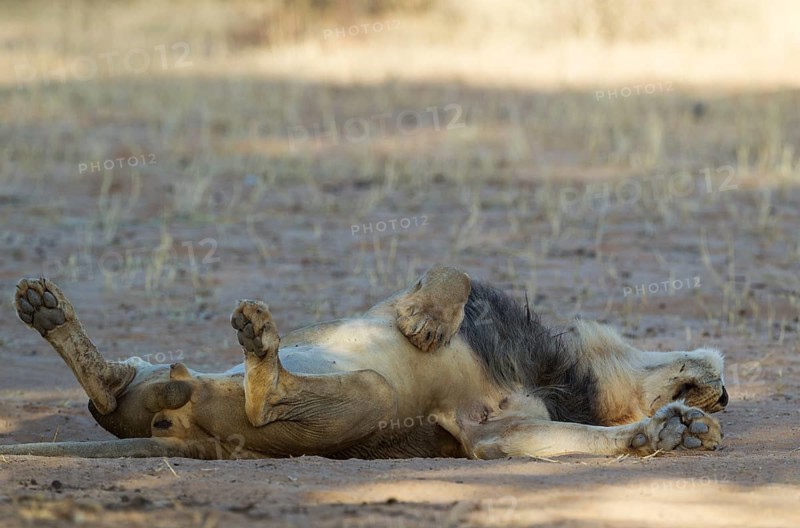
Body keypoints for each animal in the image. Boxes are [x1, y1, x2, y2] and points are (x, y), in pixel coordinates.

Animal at [1, 265, 726, 459]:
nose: (725, 395)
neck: (562, 374)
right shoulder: (415, 292)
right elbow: (451, 274)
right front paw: (425, 324)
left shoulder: (491, 430)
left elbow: (536, 439)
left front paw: (671, 433)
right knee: (113, 387)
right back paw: (44, 309)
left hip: (367, 398)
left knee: (119, 397)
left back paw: (260, 355)